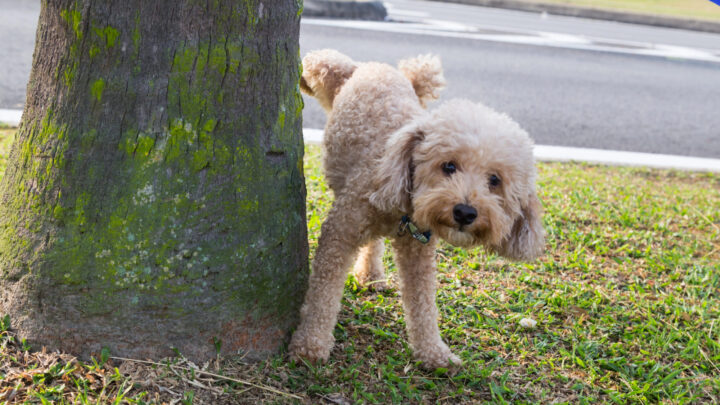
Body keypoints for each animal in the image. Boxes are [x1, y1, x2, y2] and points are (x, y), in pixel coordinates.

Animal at [290, 49, 544, 368]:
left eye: (495, 180)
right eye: (449, 166)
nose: (465, 212)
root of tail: (376, 67)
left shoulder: (418, 251)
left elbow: (423, 304)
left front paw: (434, 352)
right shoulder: (340, 232)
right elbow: (323, 292)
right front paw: (310, 343)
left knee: (374, 244)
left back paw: (371, 275)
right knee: (322, 59)